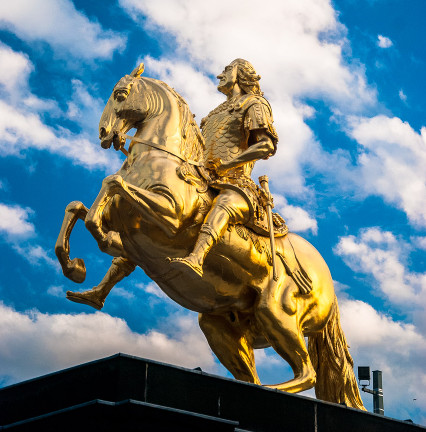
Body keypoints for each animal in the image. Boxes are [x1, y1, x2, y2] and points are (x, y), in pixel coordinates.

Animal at [55, 63, 364, 408]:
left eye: (120, 94)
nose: (104, 133)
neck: (161, 160)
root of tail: (329, 285)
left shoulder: (171, 216)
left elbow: (111, 183)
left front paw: (99, 235)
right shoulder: (129, 232)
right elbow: (79, 208)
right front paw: (75, 268)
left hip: (277, 313)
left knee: (306, 373)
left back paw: (268, 392)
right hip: (221, 326)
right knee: (253, 374)